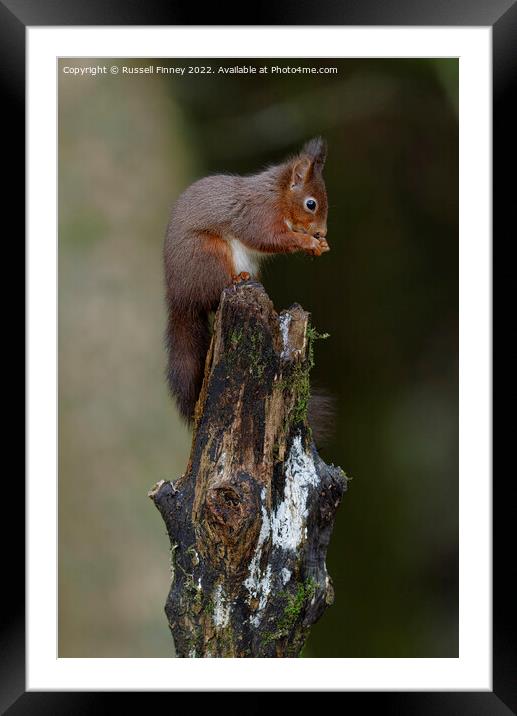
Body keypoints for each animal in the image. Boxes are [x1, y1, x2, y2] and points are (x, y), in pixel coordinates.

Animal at [163, 136, 328, 426]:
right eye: (311, 204)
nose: (322, 232)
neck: (278, 196)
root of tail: (180, 297)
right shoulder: (259, 215)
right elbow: (267, 237)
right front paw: (307, 242)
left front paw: (318, 245)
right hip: (209, 253)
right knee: (216, 289)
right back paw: (237, 279)